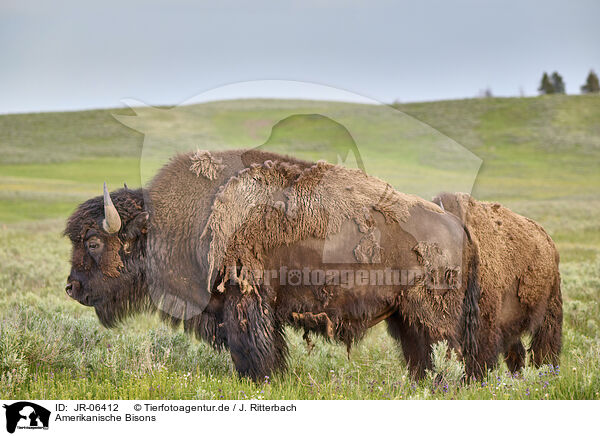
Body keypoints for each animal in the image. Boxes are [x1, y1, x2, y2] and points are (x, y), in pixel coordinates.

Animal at [65, 148, 486, 380]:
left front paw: (261, 380)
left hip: (432, 314)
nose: (71, 287)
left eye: (93, 241)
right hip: (404, 317)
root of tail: (458, 225)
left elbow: (253, 349)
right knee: (422, 355)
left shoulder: (245, 301)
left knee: (449, 350)